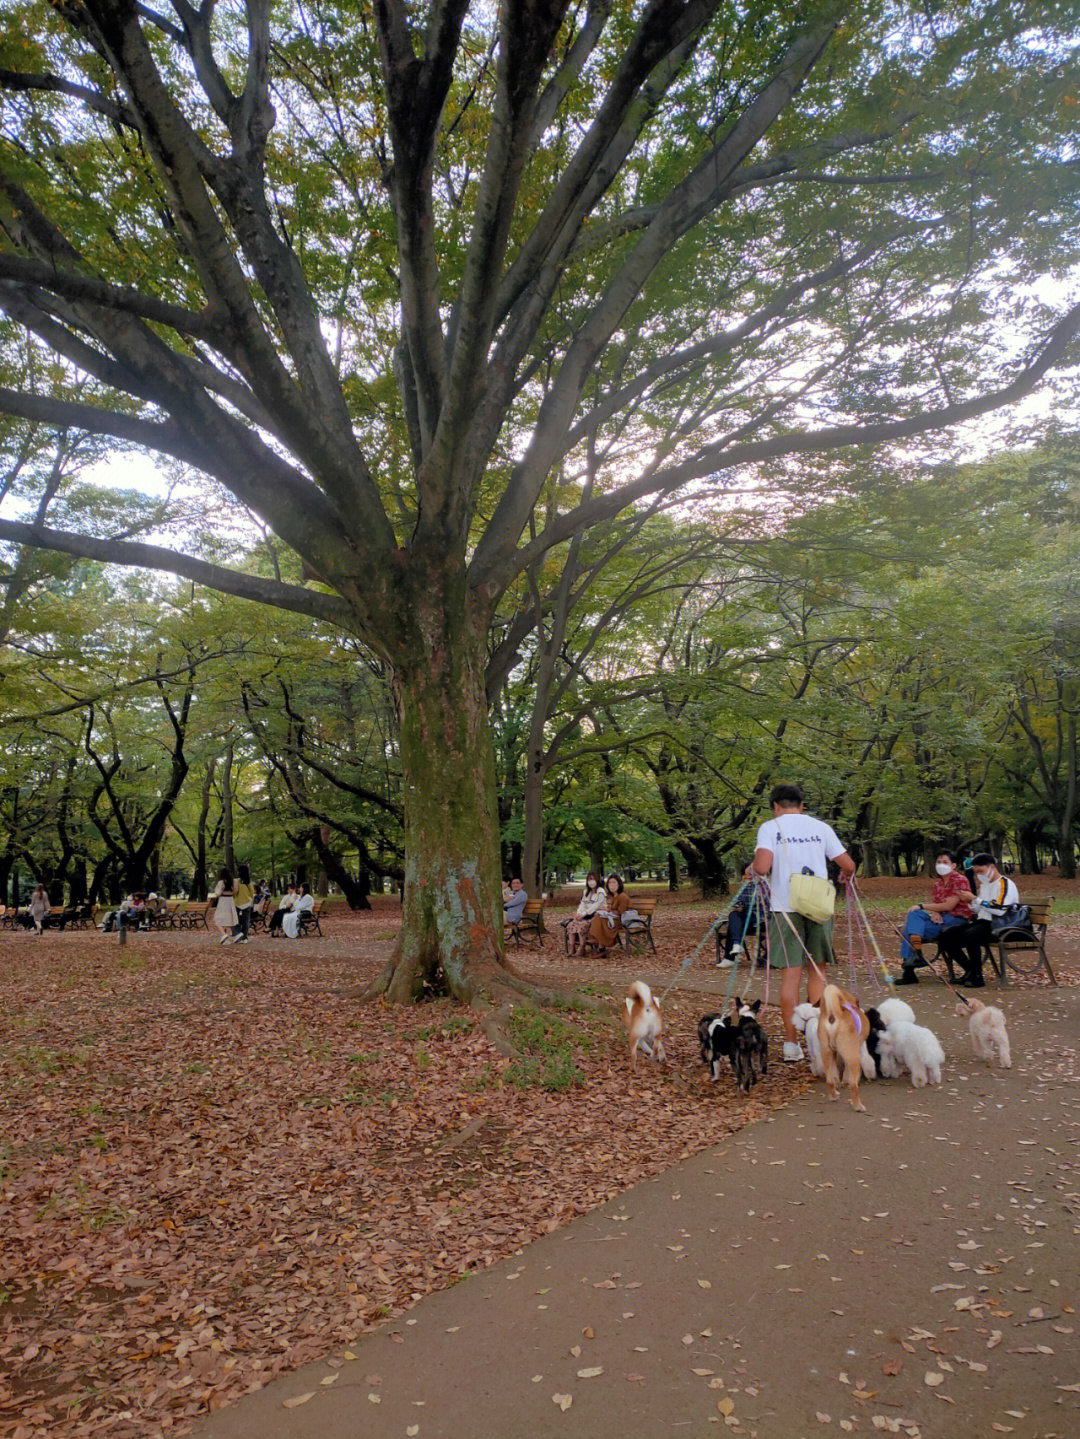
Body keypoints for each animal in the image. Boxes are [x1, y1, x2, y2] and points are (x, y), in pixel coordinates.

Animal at [816, 978, 868, 1110]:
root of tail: (834, 1015)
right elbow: (847, 1073)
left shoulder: (834, 1053)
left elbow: (835, 1073)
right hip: (853, 1057)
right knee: (853, 1085)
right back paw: (858, 1106)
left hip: (826, 1052)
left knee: (829, 1080)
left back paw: (833, 1096)